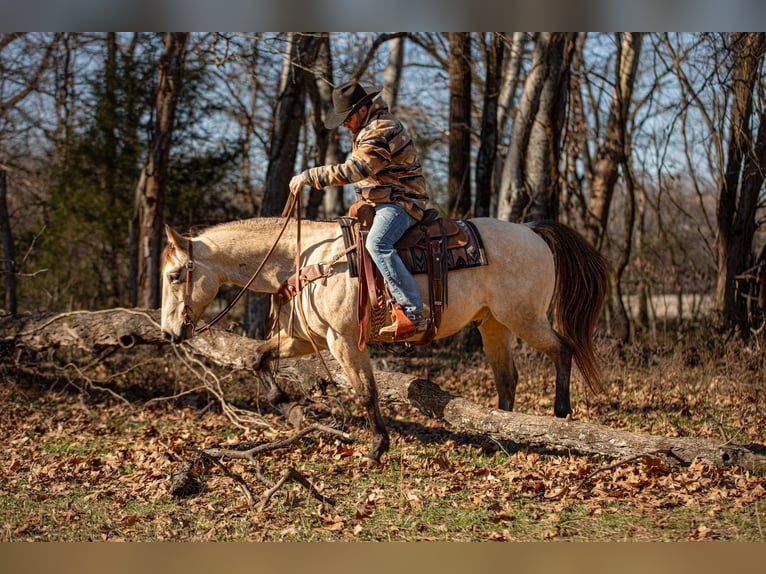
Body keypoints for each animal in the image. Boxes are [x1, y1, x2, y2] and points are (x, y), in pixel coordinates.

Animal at [160, 216, 609, 464]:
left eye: (174, 275)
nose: (168, 332)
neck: (307, 259)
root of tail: (532, 231)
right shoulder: (307, 339)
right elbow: (258, 356)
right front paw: (288, 407)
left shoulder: (343, 340)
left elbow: (366, 392)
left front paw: (377, 447)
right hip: (493, 325)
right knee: (507, 379)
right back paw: (495, 436)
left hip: (524, 318)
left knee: (564, 349)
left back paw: (560, 413)